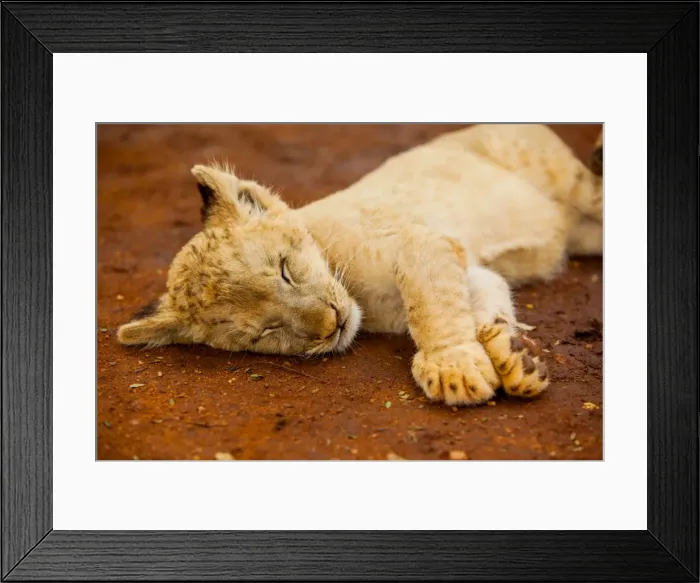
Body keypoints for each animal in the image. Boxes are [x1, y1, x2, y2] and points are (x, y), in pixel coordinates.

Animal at [117, 124, 603, 406]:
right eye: (264, 332)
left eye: (285, 269)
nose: (331, 323)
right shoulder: (471, 268)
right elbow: (479, 301)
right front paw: (514, 356)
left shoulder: (422, 240)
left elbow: (431, 306)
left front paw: (452, 369)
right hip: (583, 234)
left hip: (567, 179)